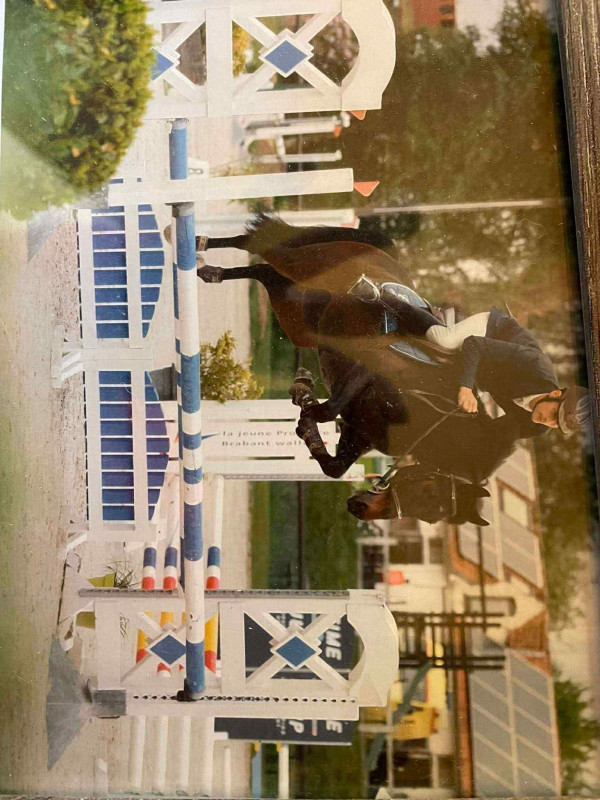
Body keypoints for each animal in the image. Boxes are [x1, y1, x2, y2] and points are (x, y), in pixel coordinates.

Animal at [197, 216, 518, 524]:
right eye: (428, 487)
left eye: (431, 516)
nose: (358, 508)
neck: (427, 412)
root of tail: (383, 253)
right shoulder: (368, 366)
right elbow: (327, 410)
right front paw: (305, 400)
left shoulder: (360, 432)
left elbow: (336, 467)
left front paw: (308, 426)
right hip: (306, 265)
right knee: (262, 244)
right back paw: (204, 251)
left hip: (300, 316)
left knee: (265, 271)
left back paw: (213, 270)